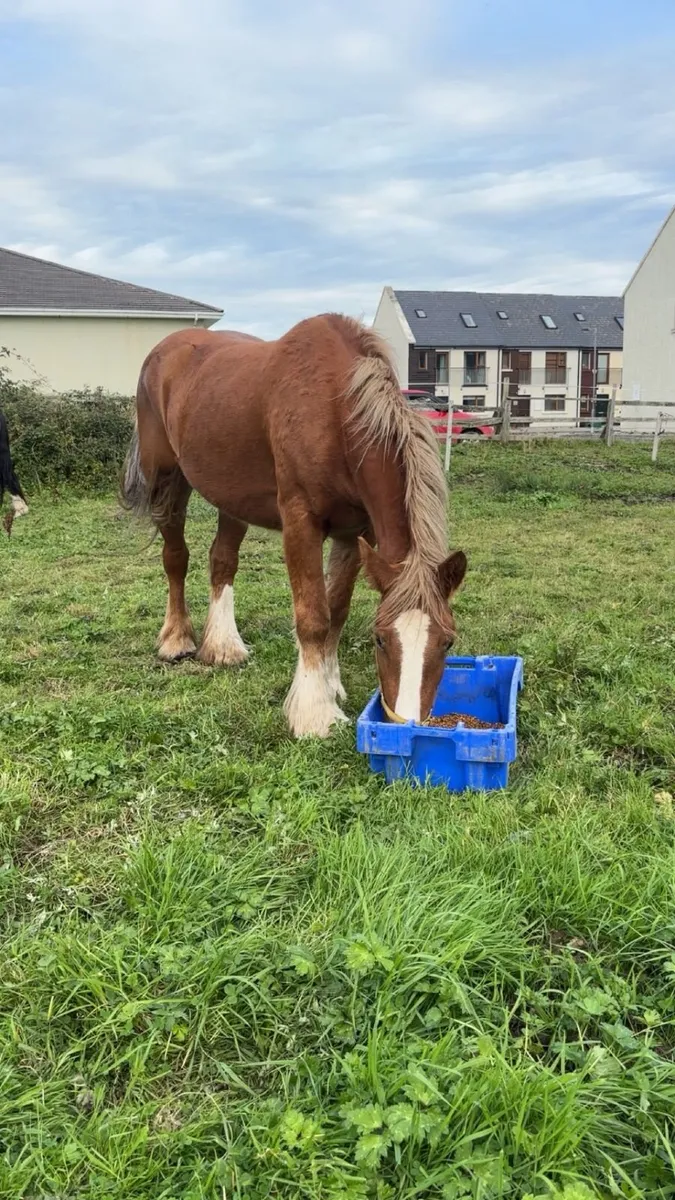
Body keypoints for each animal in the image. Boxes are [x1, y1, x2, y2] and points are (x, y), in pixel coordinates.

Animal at [121, 314, 467, 738]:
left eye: (447, 642)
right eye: (380, 639)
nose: (408, 723)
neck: (335, 409)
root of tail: (163, 350)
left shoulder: (355, 533)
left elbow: (337, 609)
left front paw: (331, 686)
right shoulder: (301, 524)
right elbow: (314, 617)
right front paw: (315, 712)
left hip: (233, 495)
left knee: (222, 561)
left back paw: (223, 646)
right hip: (167, 481)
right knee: (175, 557)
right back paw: (176, 639)